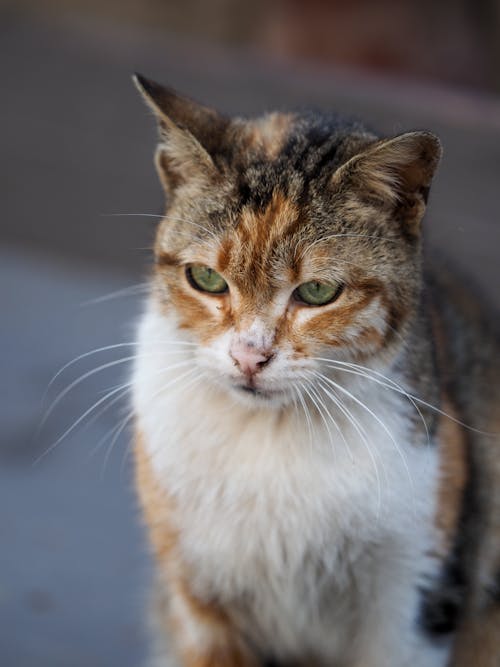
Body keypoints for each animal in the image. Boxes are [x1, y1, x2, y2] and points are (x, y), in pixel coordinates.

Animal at [131, 74, 500, 667]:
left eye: (319, 291)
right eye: (206, 279)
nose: (249, 356)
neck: (271, 436)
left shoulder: (411, 600)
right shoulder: (198, 600)